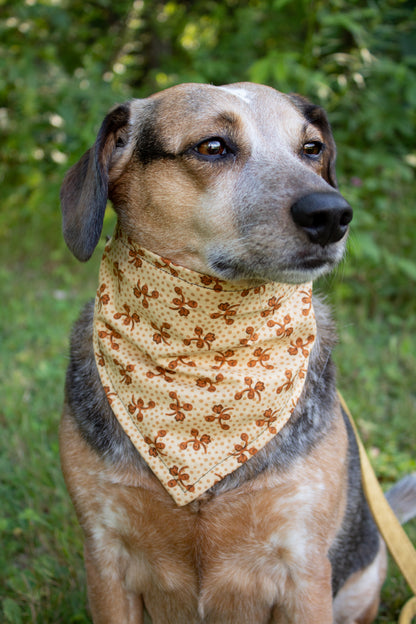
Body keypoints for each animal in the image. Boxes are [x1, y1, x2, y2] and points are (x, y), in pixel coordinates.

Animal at [60, 83, 414, 624]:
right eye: (213, 146)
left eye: (312, 148)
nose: (332, 214)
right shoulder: (105, 559)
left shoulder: (304, 567)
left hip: (363, 577)